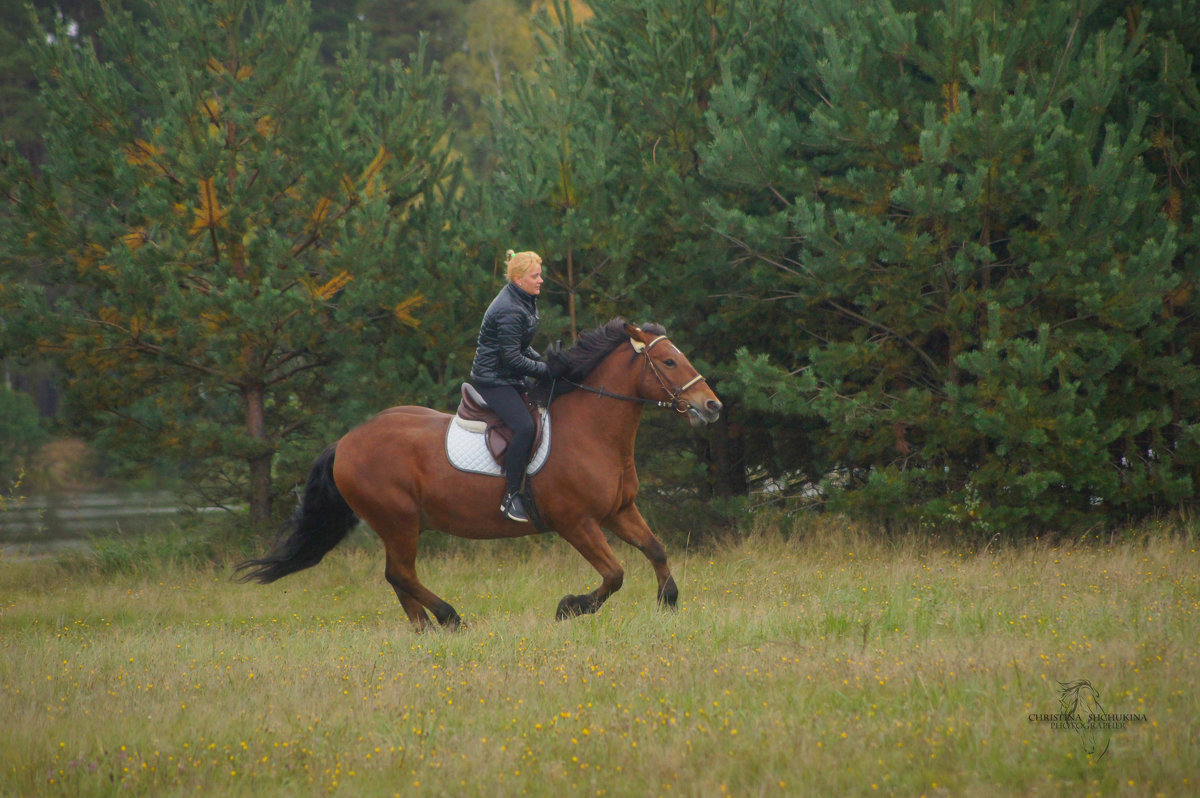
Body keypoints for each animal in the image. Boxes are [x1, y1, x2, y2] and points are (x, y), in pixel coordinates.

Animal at [235, 319, 720, 628]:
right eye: (670, 362)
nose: (712, 406)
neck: (592, 429)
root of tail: (347, 442)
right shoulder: (576, 523)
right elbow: (615, 574)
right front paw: (570, 607)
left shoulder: (619, 511)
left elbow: (655, 550)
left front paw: (668, 602)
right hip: (397, 520)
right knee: (401, 574)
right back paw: (449, 618)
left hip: (398, 525)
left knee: (397, 577)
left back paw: (424, 629)